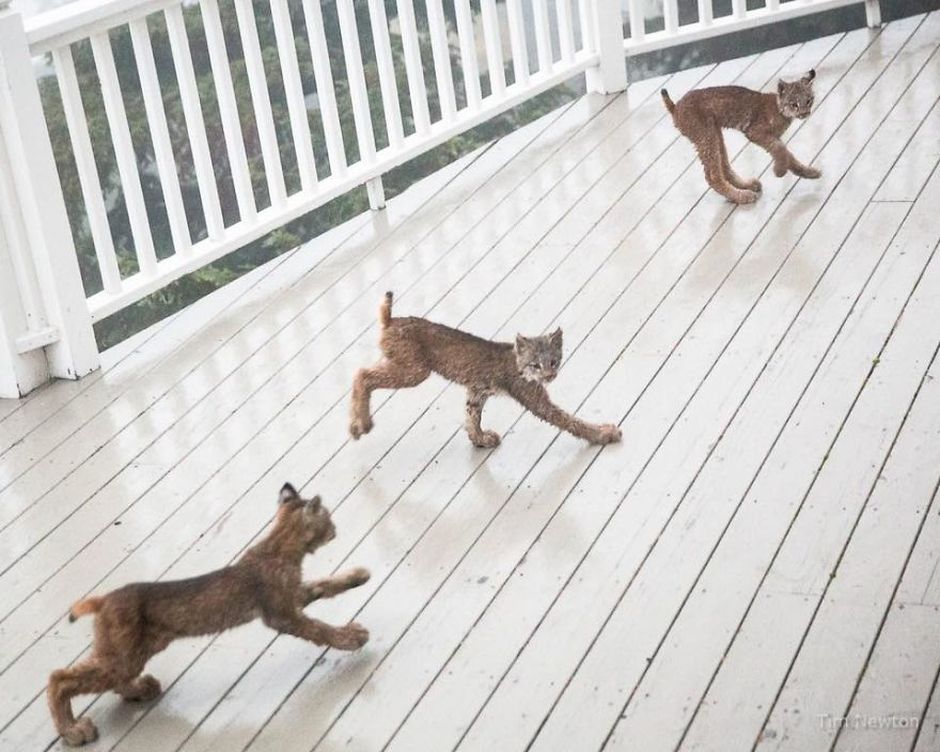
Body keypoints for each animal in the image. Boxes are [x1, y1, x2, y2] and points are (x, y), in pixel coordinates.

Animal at [348, 292, 620, 446]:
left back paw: (357, 423)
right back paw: (361, 424)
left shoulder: (476, 390)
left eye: (553, 361)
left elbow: (472, 415)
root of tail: (392, 320)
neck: (518, 363)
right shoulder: (535, 400)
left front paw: (479, 439)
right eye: (536, 365)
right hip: (415, 371)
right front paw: (603, 434)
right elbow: (569, 420)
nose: (550, 375)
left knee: (363, 372)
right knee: (362, 374)